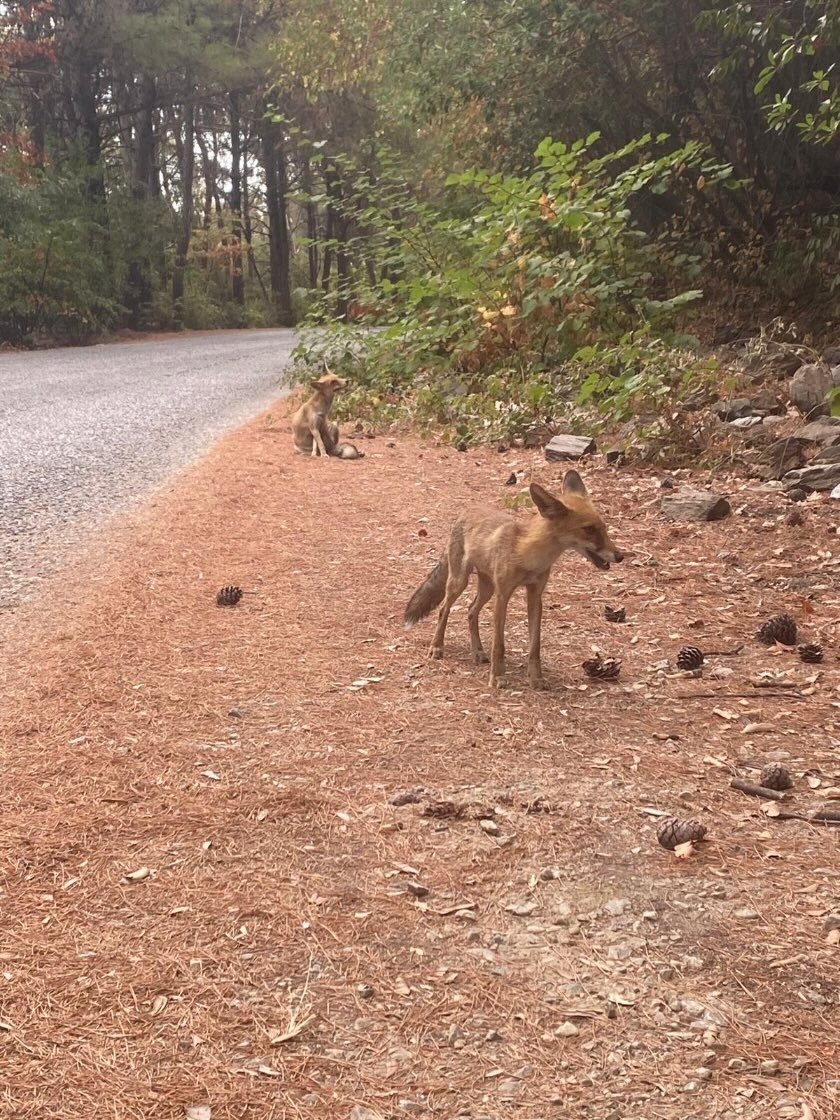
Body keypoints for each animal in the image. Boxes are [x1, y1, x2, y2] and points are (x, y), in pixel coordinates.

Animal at [405, 470, 622, 685]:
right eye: (589, 529)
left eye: (604, 528)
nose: (620, 556)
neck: (529, 556)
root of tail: (466, 511)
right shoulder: (503, 595)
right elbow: (498, 644)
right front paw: (497, 676)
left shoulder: (535, 596)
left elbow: (535, 646)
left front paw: (536, 678)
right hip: (460, 582)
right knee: (444, 609)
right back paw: (437, 647)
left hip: (487, 588)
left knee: (471, 611)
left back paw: (478, 652)